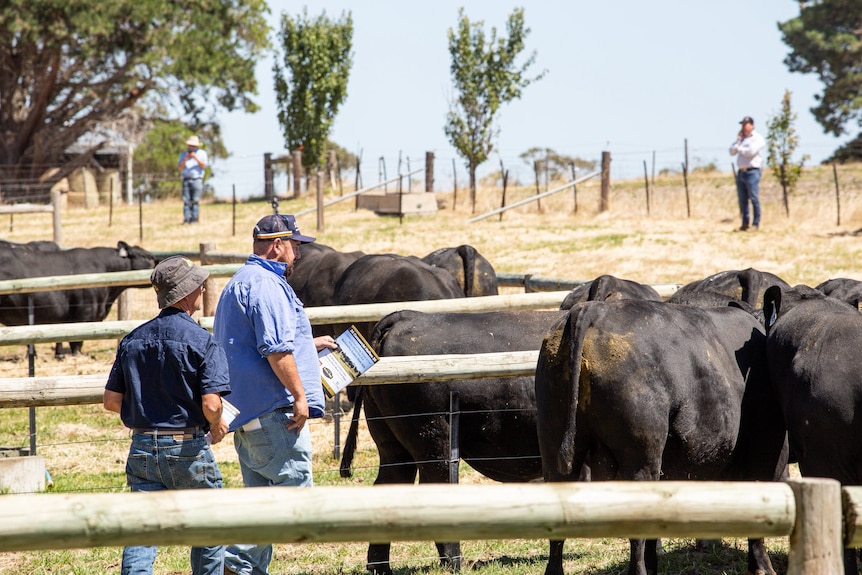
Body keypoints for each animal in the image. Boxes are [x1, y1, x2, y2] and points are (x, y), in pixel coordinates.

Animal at [340, 309, 566, 575]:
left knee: (389, 485)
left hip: (393, 445)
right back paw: (453, 561)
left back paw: (380, 566)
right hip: (433, 438)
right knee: (435, 486)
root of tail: (408, 316)